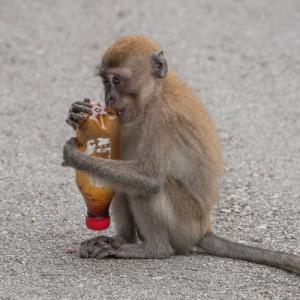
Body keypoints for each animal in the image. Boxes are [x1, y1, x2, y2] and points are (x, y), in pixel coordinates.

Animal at [62, 35, 298, 274]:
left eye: (117, 80)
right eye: (105, 80)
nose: (108, 98)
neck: (153, 92)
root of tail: (203, 229)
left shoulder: (161, 117)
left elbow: (150, 177)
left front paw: (78, 158)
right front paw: (77, 113)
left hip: (184, 225)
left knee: (151, 186)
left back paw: (153, 249)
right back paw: (123, 240)